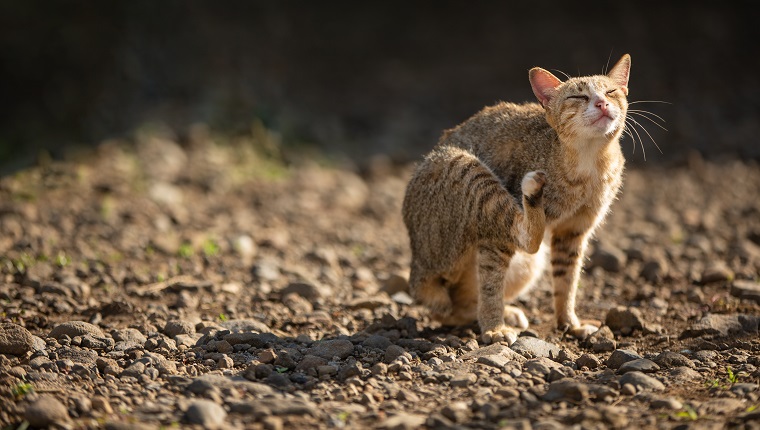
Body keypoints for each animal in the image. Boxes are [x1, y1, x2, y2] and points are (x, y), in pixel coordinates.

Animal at [400, 54, 632, 342]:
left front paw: (569, 322)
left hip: (526, 264)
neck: (590, 163)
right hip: (467, 172)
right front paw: (494, 327)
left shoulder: (573, 232)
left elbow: (567, 281)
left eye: (611, 92)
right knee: (523, 239)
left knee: (452, 310)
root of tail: (416, 271)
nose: (602, 103)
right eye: (578, 96)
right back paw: (531, 194)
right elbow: (491, 286)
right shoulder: (493, 241)